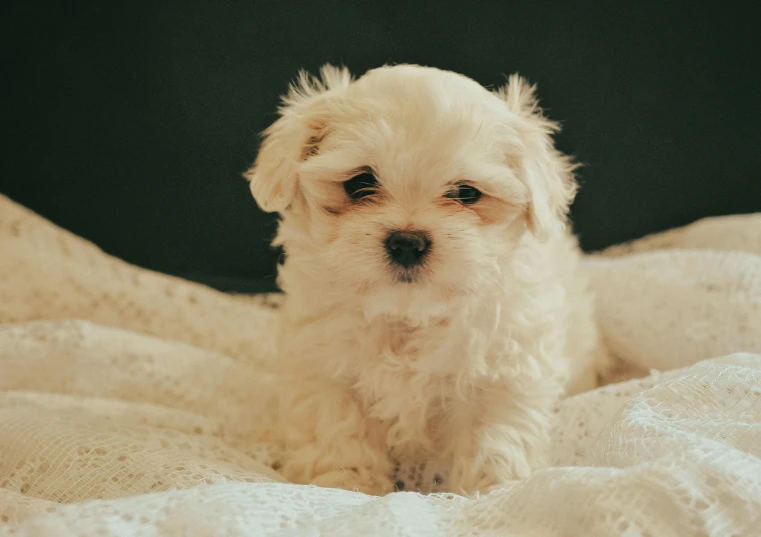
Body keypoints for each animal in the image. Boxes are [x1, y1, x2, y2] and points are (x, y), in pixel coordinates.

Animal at [246, 62, 608, 494]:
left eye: (466, 193)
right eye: (359, 183)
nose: (407, 242)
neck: (409, 316)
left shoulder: (503, 373)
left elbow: (495, 439)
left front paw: (493, 490)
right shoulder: (325, 370)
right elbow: (338, 432)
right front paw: (345, 485)